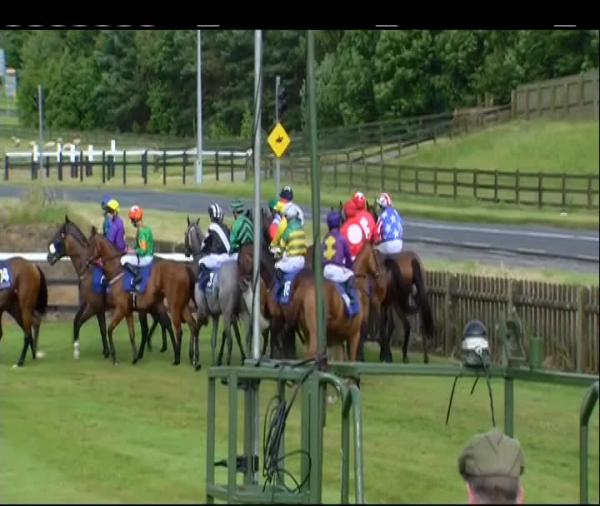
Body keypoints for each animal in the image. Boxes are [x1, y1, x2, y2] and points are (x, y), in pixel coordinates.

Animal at [47, 216, 174, 360]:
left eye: (59, 236)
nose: (48, 257)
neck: (89, 270)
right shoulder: (92, 305)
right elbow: (87, 324)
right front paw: (104, 351)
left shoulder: (95, 306)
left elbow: (88, 324)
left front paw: (91, 351)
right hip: (153, 304)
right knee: (163, 321)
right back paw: (159, 346)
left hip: (143, 306)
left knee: (151, 325)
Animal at [86, 228, 197, 366]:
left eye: (90, 244)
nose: (86, 262)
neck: (117, 271)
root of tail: (185, 267)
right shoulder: (128, 311)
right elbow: (132, 334)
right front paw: (134, 357)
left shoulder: (121, 309)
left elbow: (110, 330)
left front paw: (114, 357)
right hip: (182, 304)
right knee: (192, 325)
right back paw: (192, 358)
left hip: (174, 305)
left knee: (178, 329)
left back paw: (177, 357)